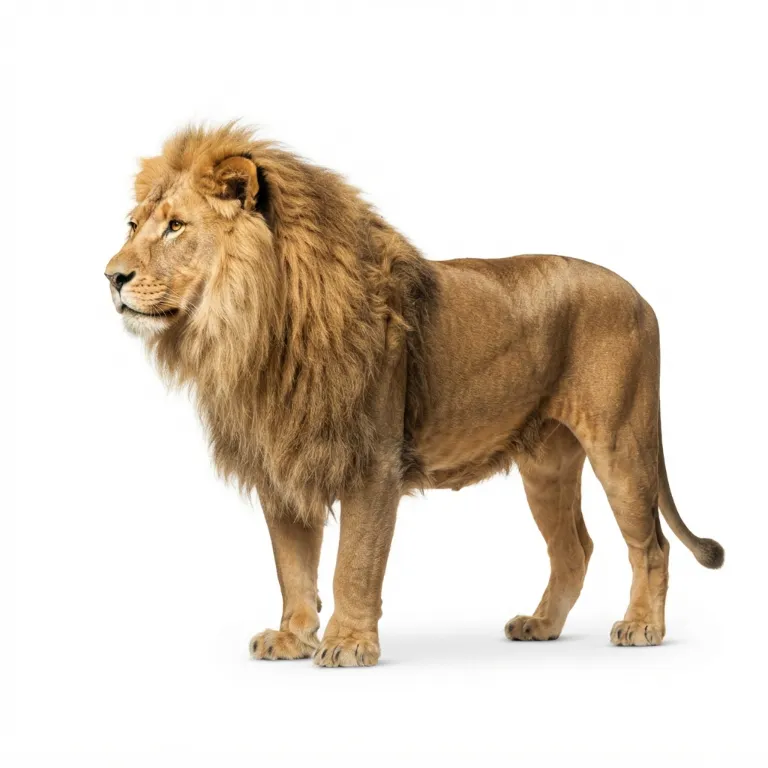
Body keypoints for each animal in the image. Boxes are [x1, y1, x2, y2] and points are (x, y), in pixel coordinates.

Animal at [105, 124, 723, 666]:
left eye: (176, 226)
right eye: (133, 225)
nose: (111, 276)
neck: (255, 328)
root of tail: (640, 295)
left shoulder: (372, 462)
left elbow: (354, 564)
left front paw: (348, 645)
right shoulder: (282, 462)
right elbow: (293, 565)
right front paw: (292, 638)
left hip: (621, 442)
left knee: (652, 545)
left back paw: (642, 627)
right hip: (546, 462)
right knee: (574, 548)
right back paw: (541, 625)